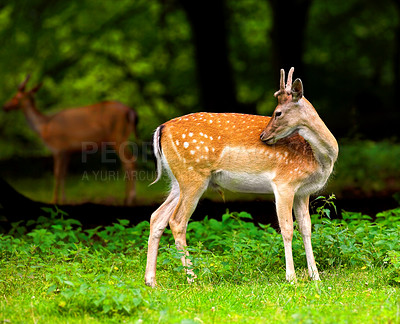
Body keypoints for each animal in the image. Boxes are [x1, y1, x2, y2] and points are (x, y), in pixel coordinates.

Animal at [2, 74, 138, 204]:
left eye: (16, 97)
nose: (5, 106)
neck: (44, 127)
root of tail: (130, 111)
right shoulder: (67, 151)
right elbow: (64, 174)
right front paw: (64, 199)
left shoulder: (58, 148)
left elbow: (57, 173)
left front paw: (54, 200)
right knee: (129, 161)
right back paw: (126, 197)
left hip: (118, 136)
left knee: (129, 161)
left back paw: (130, 198)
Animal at [144, 67, 338, 286]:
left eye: (278, 112)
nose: (263, 136)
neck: (317, 158)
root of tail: (161, 129)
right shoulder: (284, 183)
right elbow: (287, 228)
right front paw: (291, 277)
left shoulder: (303, 192)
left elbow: (306, 228)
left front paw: (316, 276)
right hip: (193, 176)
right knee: (177, 221)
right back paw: (192, 278)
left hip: (178, 181)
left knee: (157, 217)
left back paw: (151, 281)